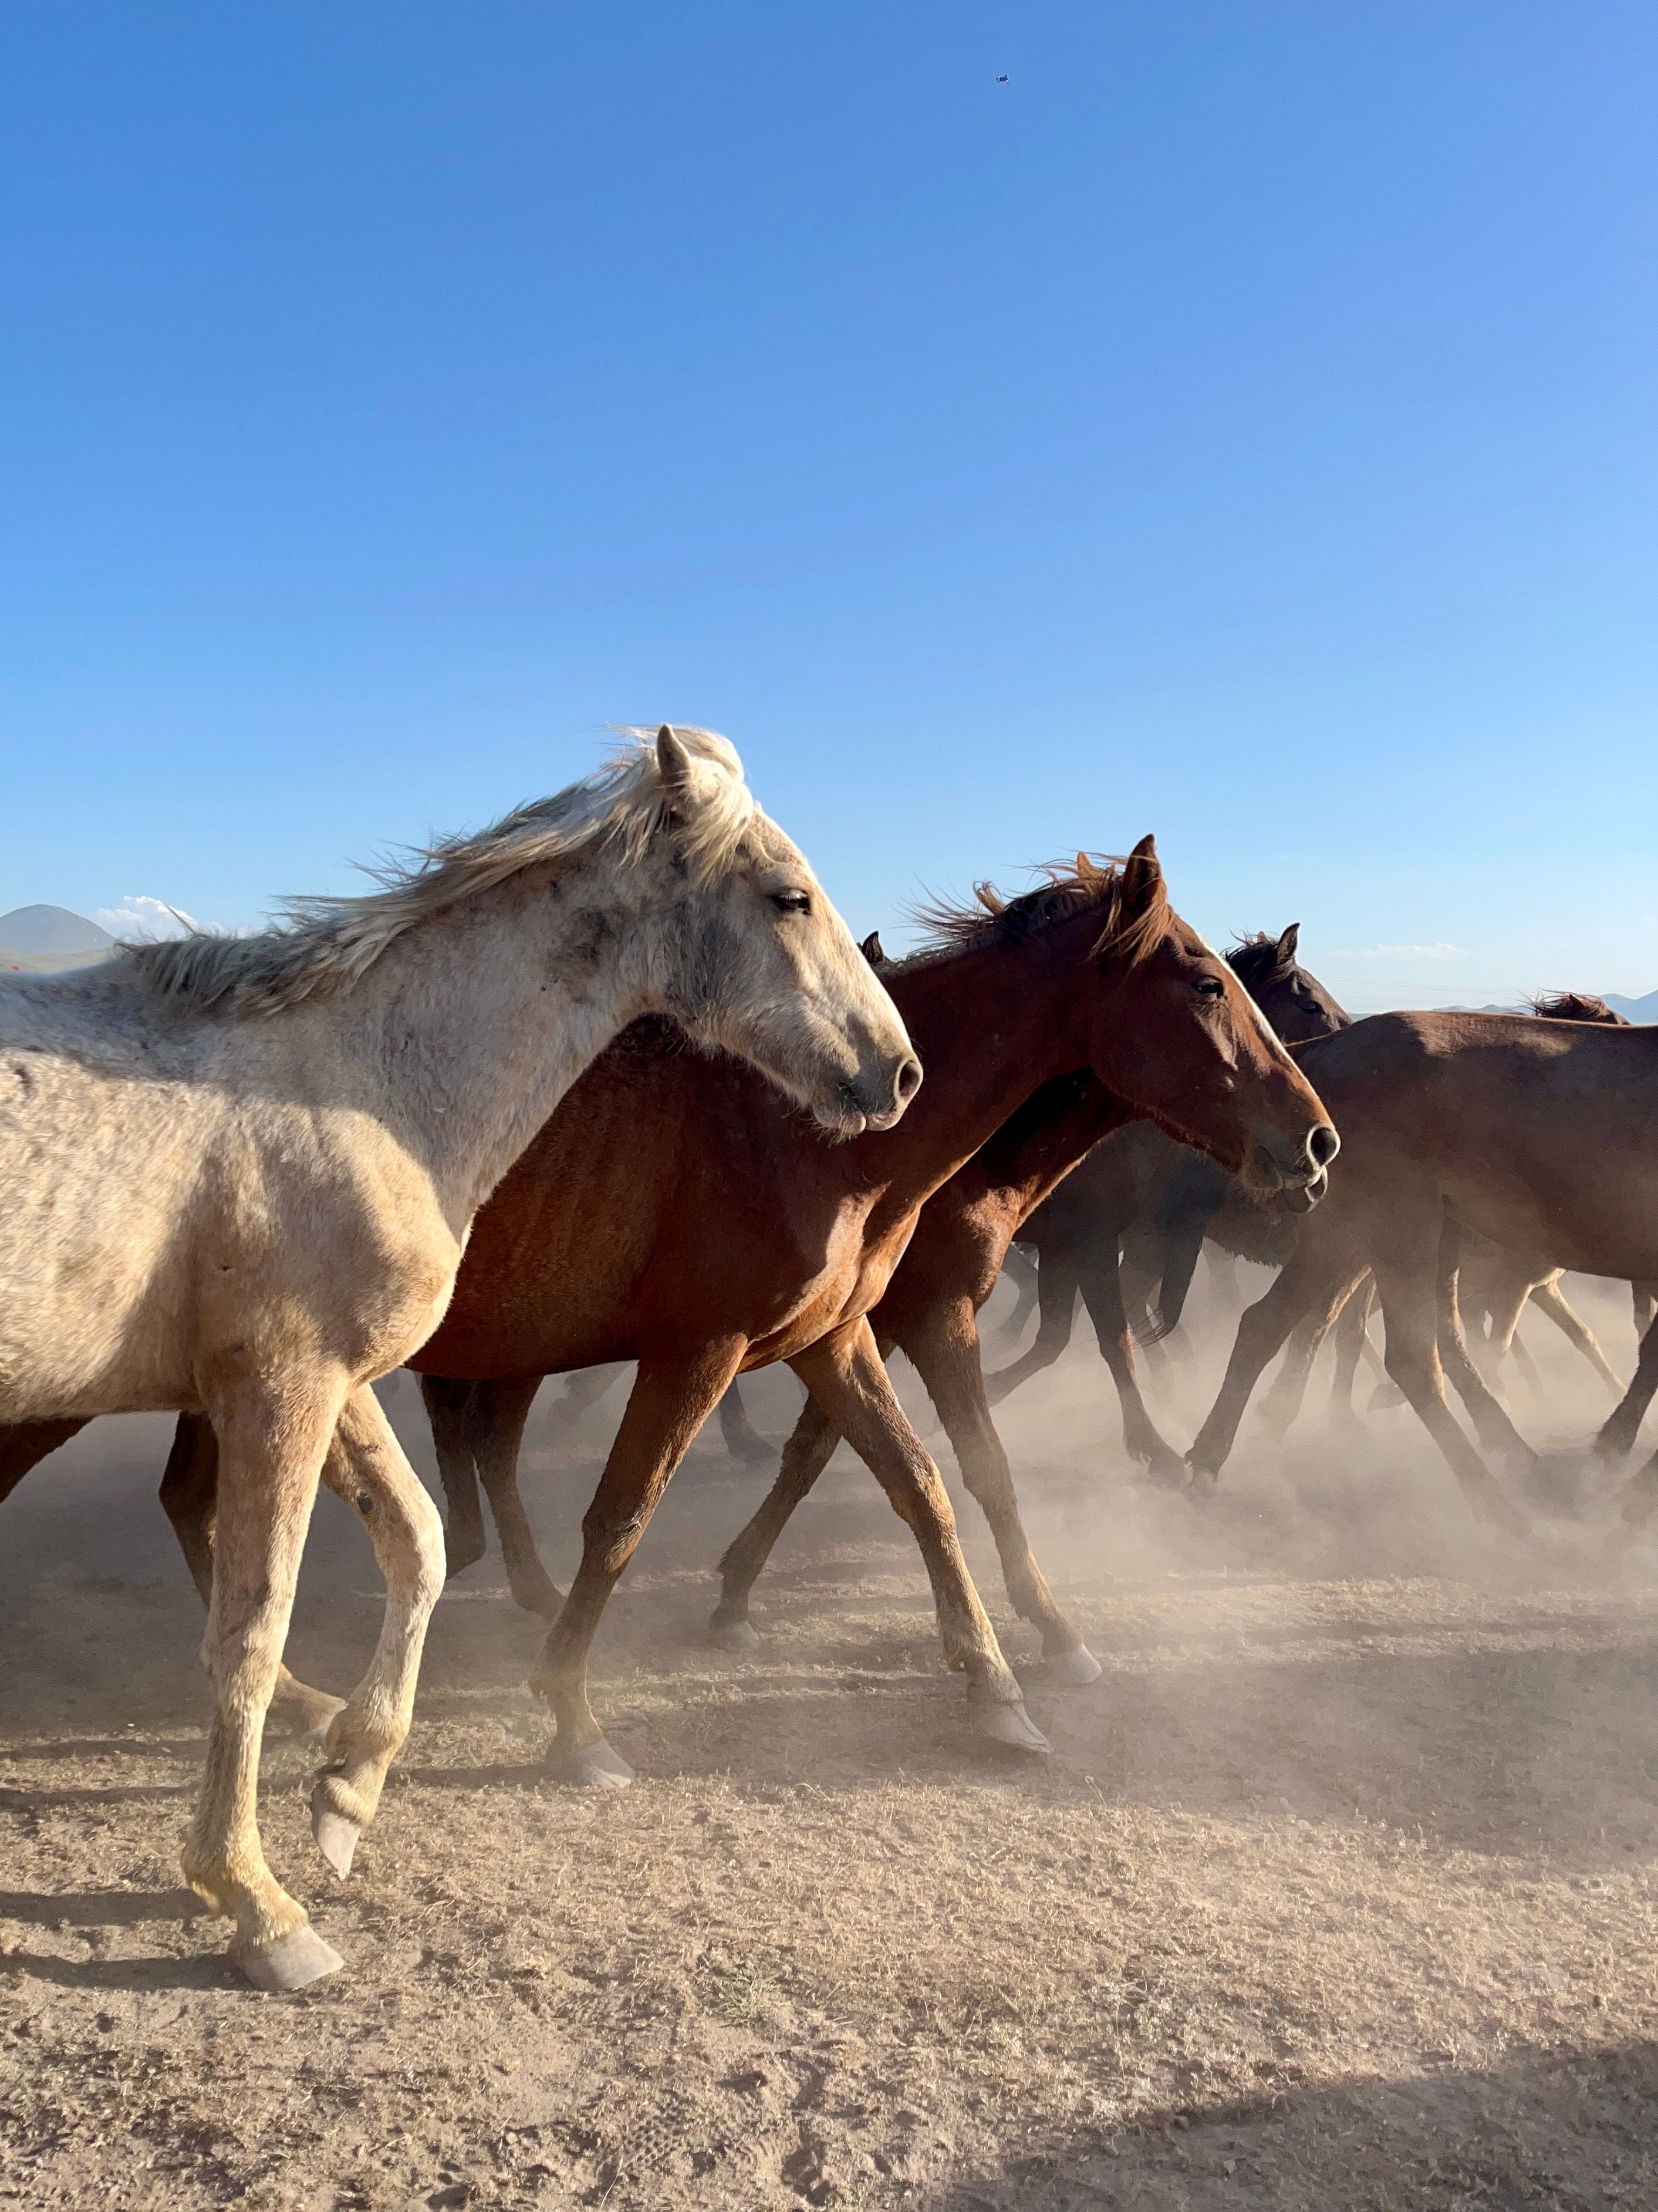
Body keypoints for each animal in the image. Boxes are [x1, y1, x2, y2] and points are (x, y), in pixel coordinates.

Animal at [0, 725, 918, 1990]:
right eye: (790, 895)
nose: (898, 1072)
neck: (365, 1085)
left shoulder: (333, 1382)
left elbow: (422, 1544)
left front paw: (346, 1788)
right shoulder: (283, 1389)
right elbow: (251, 1629)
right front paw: (256, 1904)